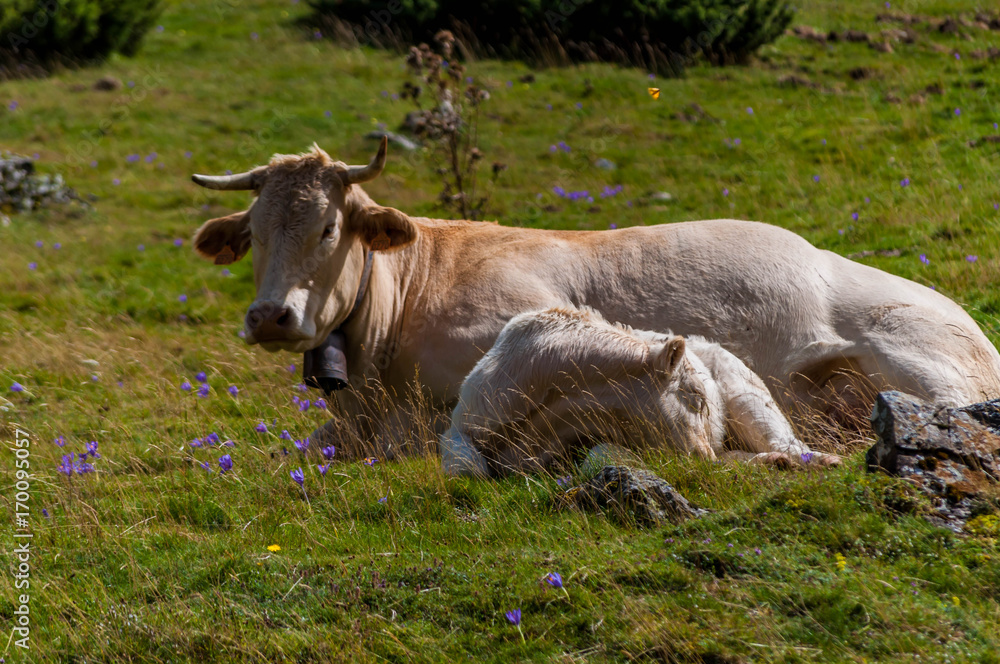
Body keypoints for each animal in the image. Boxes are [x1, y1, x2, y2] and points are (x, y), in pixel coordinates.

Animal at [442, 308, 840, 478]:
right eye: (696, 396)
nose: (703, 454)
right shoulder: (463, 423)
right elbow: (467, 469)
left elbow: (601, 455)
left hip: (751, 400)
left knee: (789, 445)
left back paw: (816, 460)